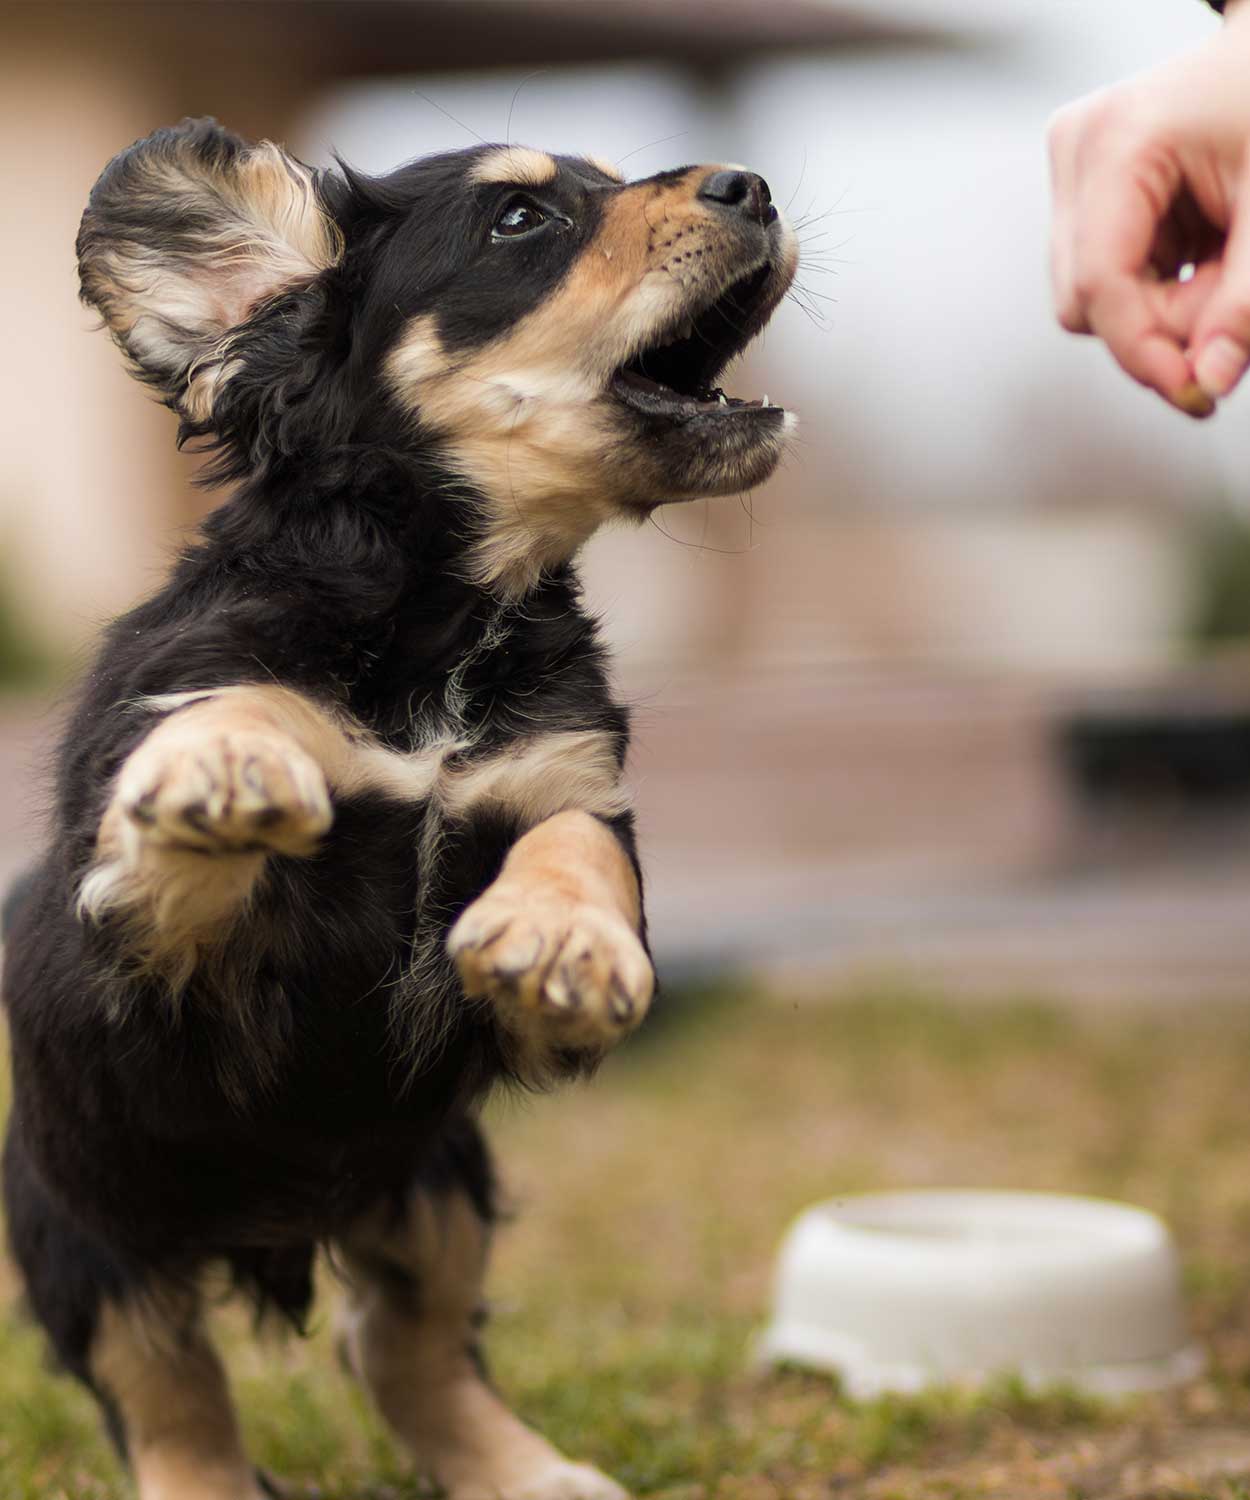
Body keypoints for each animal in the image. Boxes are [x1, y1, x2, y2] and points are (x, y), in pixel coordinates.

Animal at [0, 120, 792, 1500]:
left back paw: (528, 1473)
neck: (438, 620)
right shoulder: (145, 958)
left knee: (399, 1346)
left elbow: (578, 845)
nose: (752, 188)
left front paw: (560, 941)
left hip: (434, 1182)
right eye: (520, 222)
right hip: (88, 1241)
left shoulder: (560, 777)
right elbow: (227, 733)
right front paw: (225, 764)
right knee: (172, 1402)